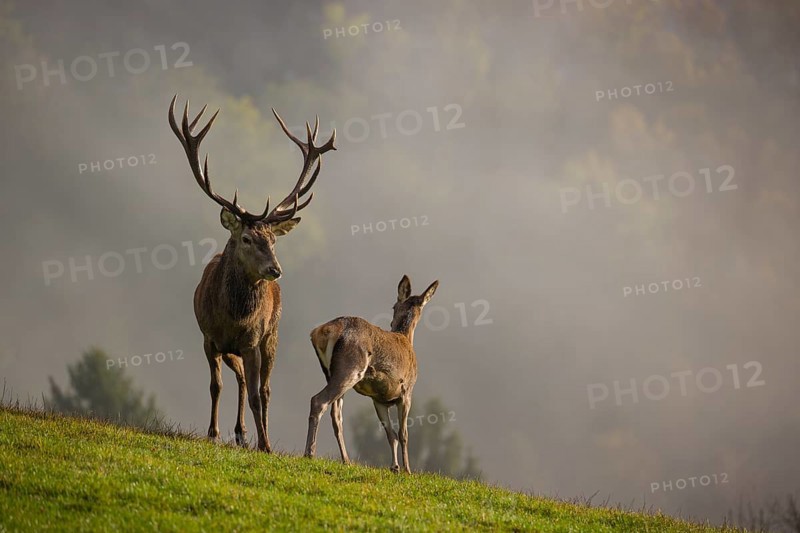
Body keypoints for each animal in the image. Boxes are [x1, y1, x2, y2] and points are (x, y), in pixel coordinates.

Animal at [168, 95, 336, 452]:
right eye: (246, 238)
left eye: (273, 239)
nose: (275, 269)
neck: (232, 318)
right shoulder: (209, 338)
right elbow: (215, 386)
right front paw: (214, 432)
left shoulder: (252, 340)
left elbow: (260, 395)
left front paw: (266, 444)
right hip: (233, 349)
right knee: (242, 379)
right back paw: (240, 431)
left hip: (271, 336)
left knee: (263, 388)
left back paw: (254, 434)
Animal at [304, 275, 439, 473]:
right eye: (393, 306)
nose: (391, 323)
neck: (406, 338)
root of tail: (321, 331)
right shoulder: (407, 391)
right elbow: (403, 433)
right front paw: (407, 470)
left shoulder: (378, 399)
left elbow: (391, 434)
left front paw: (395, 467)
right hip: (351, 367)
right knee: (318, 401)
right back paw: (309, 453)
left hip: (330, 372)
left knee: (336, 416)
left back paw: (346, 460)